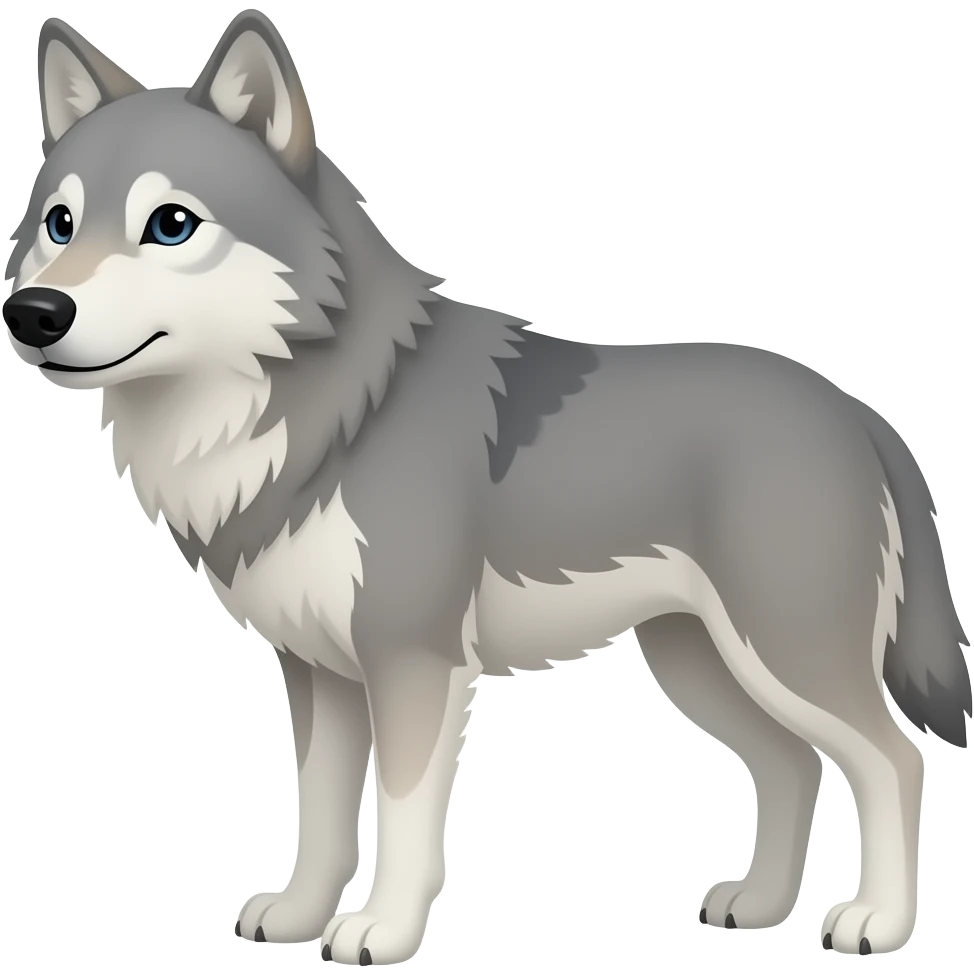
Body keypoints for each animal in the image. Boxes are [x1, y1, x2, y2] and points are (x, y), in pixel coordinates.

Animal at [3, 10, 970, 966]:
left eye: (170, 224)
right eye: (58, 222)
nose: (33, 314)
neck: (342, 411)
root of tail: (859, 411)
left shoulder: (414, 661)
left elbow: (401, 817)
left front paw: (381, 932)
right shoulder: (319, 672)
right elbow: (320, 814)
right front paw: (300, 915)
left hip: (782, 655)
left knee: (894, 759)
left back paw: (877, 923)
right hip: (698, 662)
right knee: (791, 764)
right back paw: (762, 904)